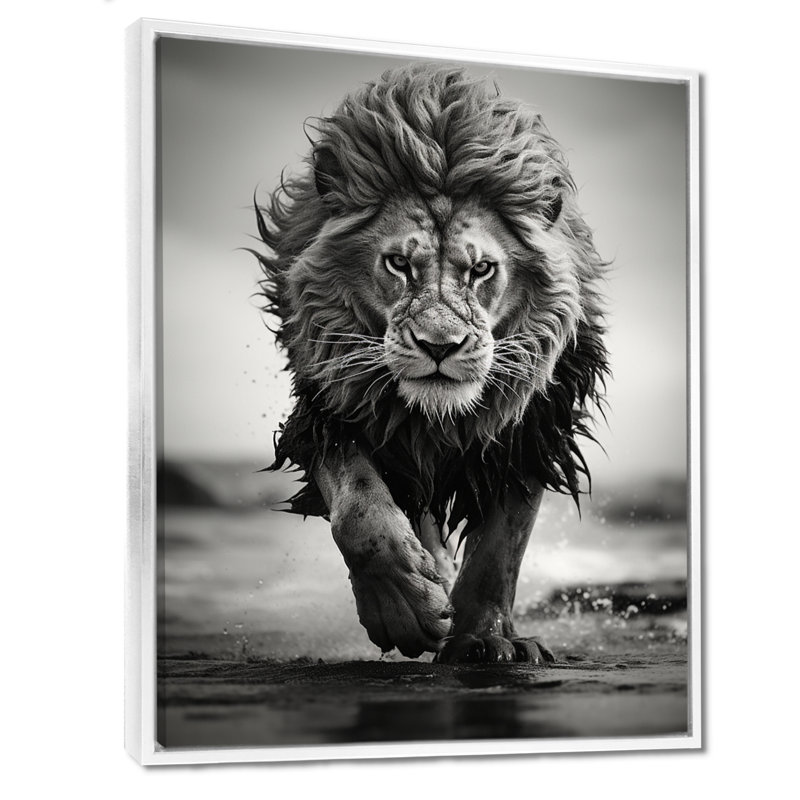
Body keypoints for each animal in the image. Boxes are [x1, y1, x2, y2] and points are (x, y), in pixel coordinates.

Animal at [248, 64, 608, 664]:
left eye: (482, 270)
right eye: (399, 264)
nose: (440, 346)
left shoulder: (533, 428)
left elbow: (500, 548)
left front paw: (480, 638)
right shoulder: (330, 409)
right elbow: (360, 512)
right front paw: (404, 608)